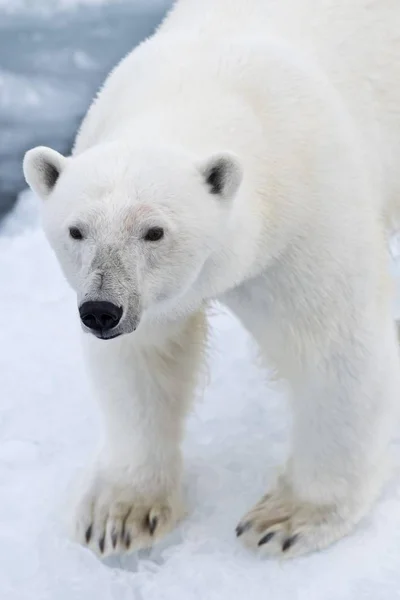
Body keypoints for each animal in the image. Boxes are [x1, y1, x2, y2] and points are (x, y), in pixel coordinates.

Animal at [22, 0, 400, 556]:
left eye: (154, 231)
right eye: (76, 230)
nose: (101, 311)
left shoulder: (307, 217)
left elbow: (333, 346)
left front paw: (288, 518)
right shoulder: (149, 301)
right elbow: (145, 360)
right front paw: (120, 514)